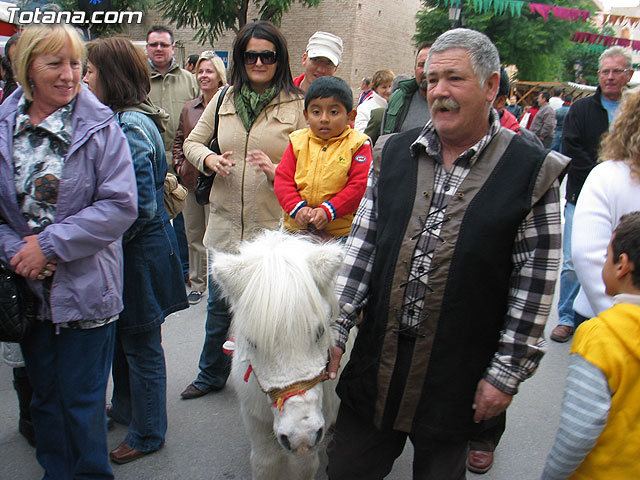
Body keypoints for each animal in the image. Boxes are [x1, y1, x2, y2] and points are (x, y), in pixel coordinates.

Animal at [211, 231, 344, 478]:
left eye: (320, 331)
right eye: (251, 341)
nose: (301, 437)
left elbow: (303, 467)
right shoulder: (256, 421)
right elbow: (265, 463)